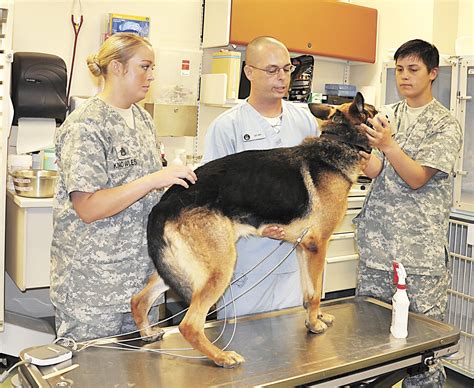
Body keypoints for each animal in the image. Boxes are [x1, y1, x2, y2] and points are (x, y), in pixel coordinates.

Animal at [131, 91, 376, 366]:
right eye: (374, 111)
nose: (387, 117)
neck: (338, 139)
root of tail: (164, 202)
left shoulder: (303, 248)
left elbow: (307, 292)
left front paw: (316, 317)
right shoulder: (317, 247)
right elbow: (314, 294)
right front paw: (314, 324)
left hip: (181, 269)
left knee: (138, 300)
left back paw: (148, 333)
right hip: (219, 268)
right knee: (189, 325)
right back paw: (221, 356)